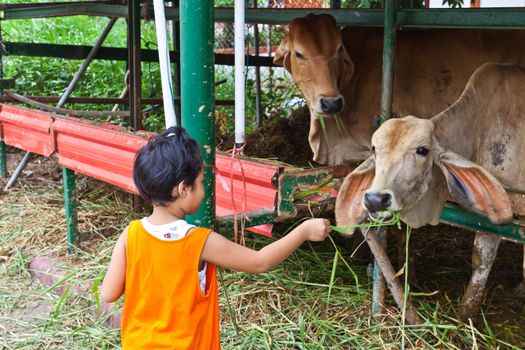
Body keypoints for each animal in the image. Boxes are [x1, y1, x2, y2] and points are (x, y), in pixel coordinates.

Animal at [336, 63, 524, 322]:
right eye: (374, 149)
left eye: (423, 150)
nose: (375, 199)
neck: (481, 127)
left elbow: (484, 259)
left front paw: (466, 314)